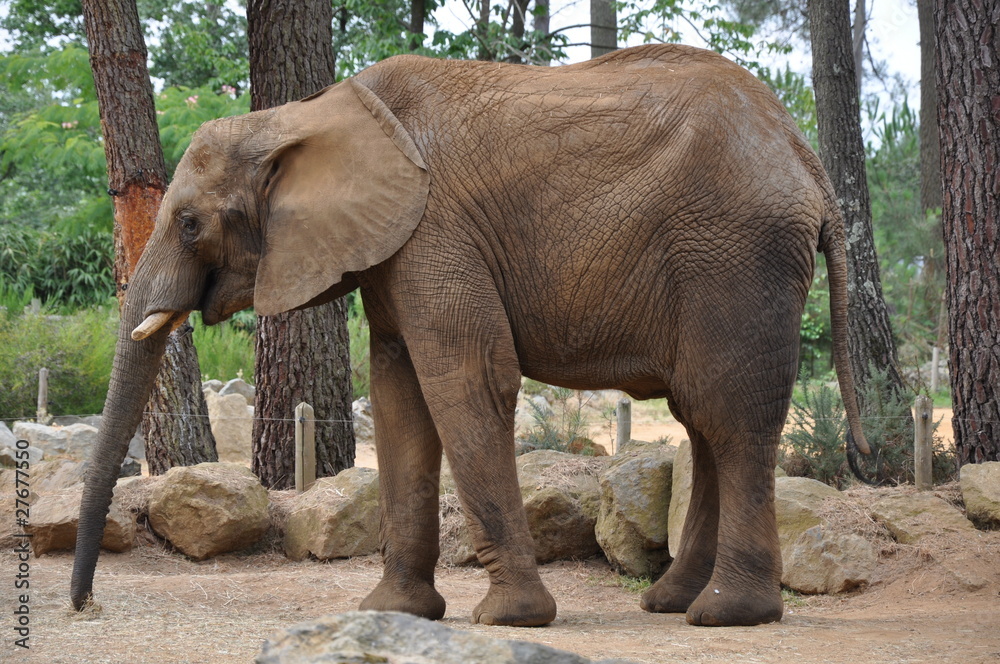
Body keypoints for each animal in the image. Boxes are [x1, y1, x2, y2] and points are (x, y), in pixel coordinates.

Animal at [72, 43, 870, 628]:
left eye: (189, 224)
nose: (85, 606)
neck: (308, 113)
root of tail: (805, 156)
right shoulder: (394, 247)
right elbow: (398, 398)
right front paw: (395, 614)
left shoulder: (435, 230)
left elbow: (466, 379)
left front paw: (509, 619)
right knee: (700, 416)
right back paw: (669, 604)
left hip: (736, 254)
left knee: (727, 413)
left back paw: (728, 615)